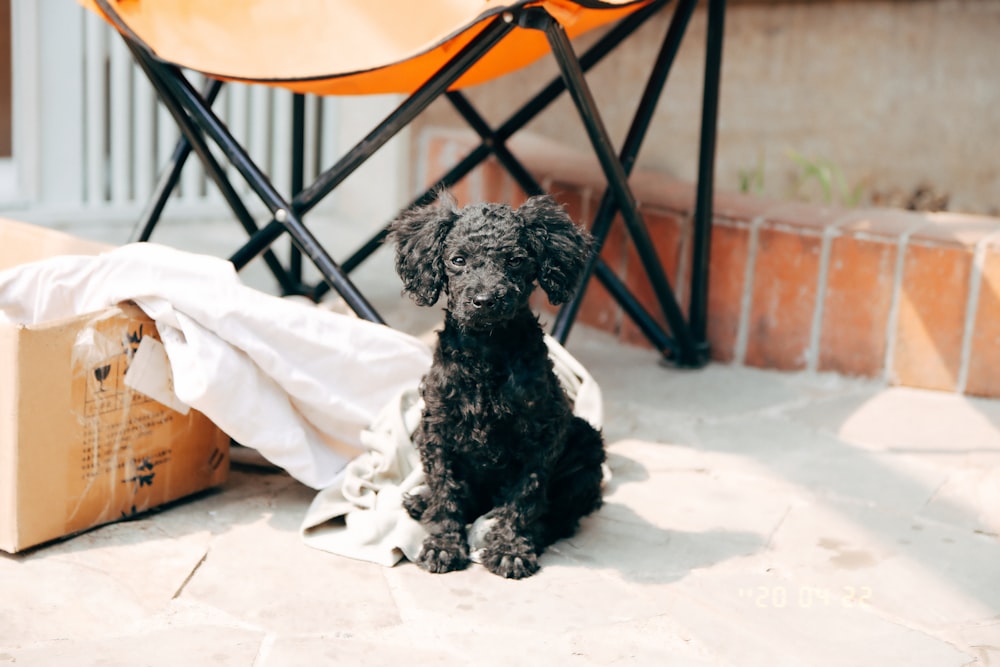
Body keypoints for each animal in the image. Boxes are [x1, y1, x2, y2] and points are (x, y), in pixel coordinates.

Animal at [388, 193, 608, 580]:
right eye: (458, 260)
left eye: (516, 261)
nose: (485, 300)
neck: (486, 355)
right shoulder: (437, 430)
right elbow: (446, 491)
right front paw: (444, 545)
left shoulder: (542, 436)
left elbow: (524, 498)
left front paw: (510, 550)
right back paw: (421, 500)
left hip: (586, 445)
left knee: (560, 517)